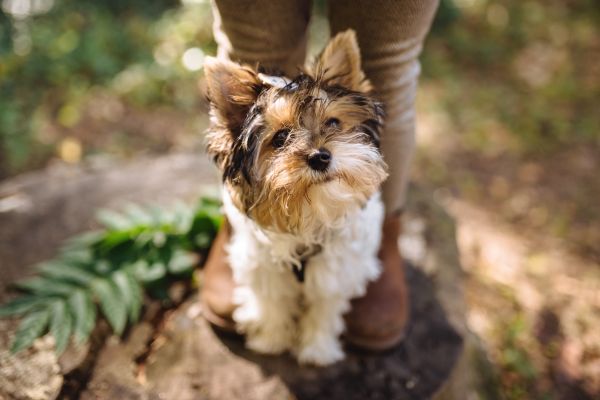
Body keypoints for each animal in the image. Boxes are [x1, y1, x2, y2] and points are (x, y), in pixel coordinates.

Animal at [204, 29, 386, 364]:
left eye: (333, 123)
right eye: (280, 139)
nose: (319, 156)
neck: (310, 211)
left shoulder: (333, 273)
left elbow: (325, 308)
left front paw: (317, 350)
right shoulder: (266, 270)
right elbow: (273, 305)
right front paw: (271, 341)